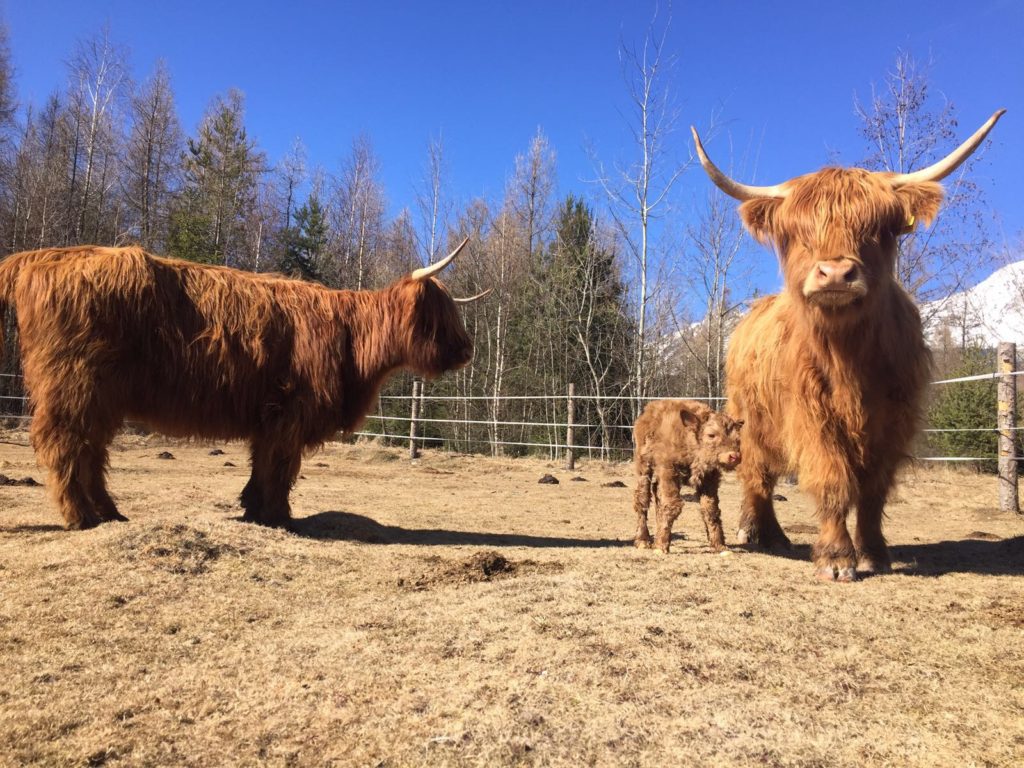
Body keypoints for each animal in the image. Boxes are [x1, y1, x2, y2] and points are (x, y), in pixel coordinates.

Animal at [0, 243, 483, 532]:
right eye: (441, 314)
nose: (467, 350)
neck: (352, 337)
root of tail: (43, 257)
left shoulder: (269, 416)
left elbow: (262, 464)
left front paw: (253, 508)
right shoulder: (290, 411)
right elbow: (281, 467)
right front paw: (279, 516)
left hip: (100, 397)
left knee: (91, 450)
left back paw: (110, 512)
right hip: (74, 386)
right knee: (64, 443)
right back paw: (81, 516)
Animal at [626, 399, 741, 557]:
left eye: (738, 439)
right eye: (711, 435)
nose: (734, 456)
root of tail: (648, 410)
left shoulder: (709, 478)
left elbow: (711, 509)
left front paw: (720, 546)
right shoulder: (669, 471)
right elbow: (672, 505)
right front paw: (661, 546)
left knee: (656, 493)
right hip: (643, 465)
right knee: (642, 498)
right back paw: (643, 540)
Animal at [692, 105, 1003, 581]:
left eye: (876, 229)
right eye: (798, 233)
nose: (836, 273)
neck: (850, 359)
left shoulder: (895, 419)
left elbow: (874, 490)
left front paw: (874, 553)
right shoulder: (812, 416)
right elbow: (832, 479)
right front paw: (837, 559)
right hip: (751, 419)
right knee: (757, 475)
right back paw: (762, 533)